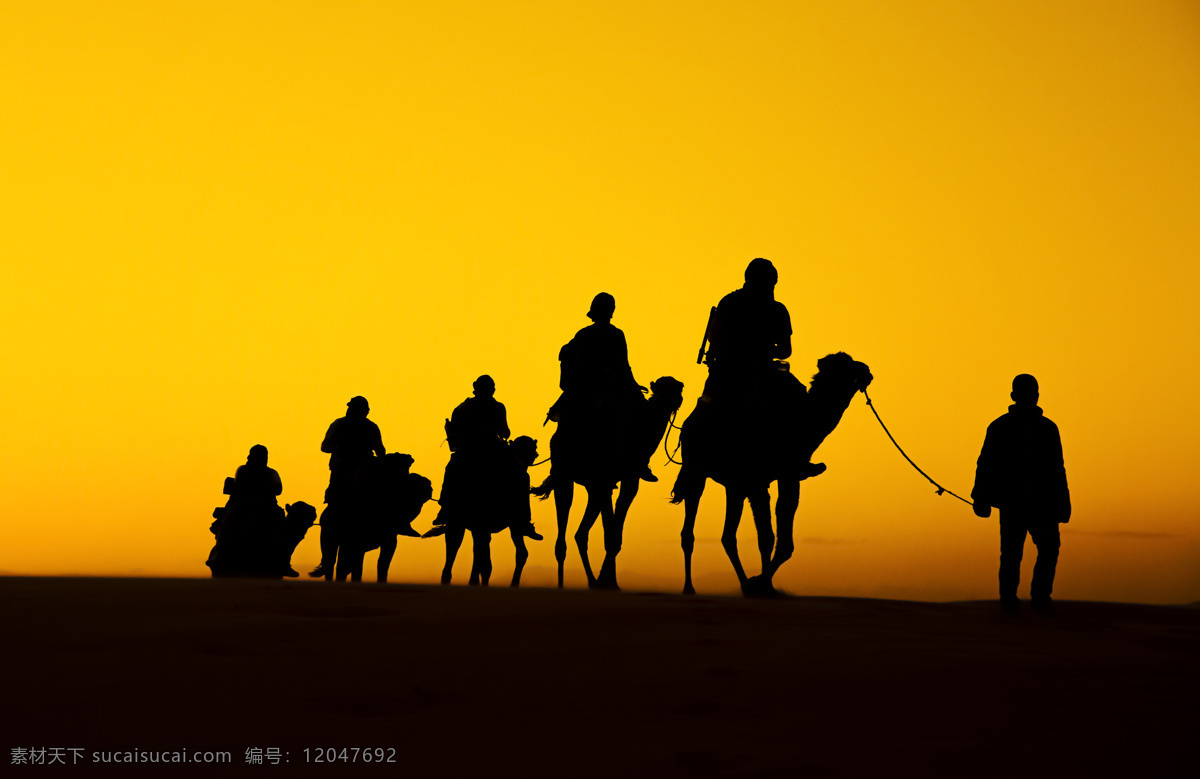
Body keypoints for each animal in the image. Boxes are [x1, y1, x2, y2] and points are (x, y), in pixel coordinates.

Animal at [535, 376, 686, 590]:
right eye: (661, 388)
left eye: (677, 389)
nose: (675, 400)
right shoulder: (604, 481)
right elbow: (610, 533)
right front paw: (609, 582)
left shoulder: (629, 480)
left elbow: (615, 533)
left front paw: (609, 581)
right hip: (565, 476)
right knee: (562, 537)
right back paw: (565, 584)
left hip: (590, 486)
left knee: (580, 533)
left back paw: (592, 582)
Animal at [667, 352, 873, 595]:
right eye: (846, 367)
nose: (868, 371)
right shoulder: (758, 481)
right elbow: (767, 536)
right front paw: (762, 584)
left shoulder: (787, 476)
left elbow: (783, 541)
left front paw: (764, 584)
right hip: (696, 471)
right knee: (691, 529)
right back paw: (690, 587)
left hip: (734, 486)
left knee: (728, 536)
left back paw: (744, 584)